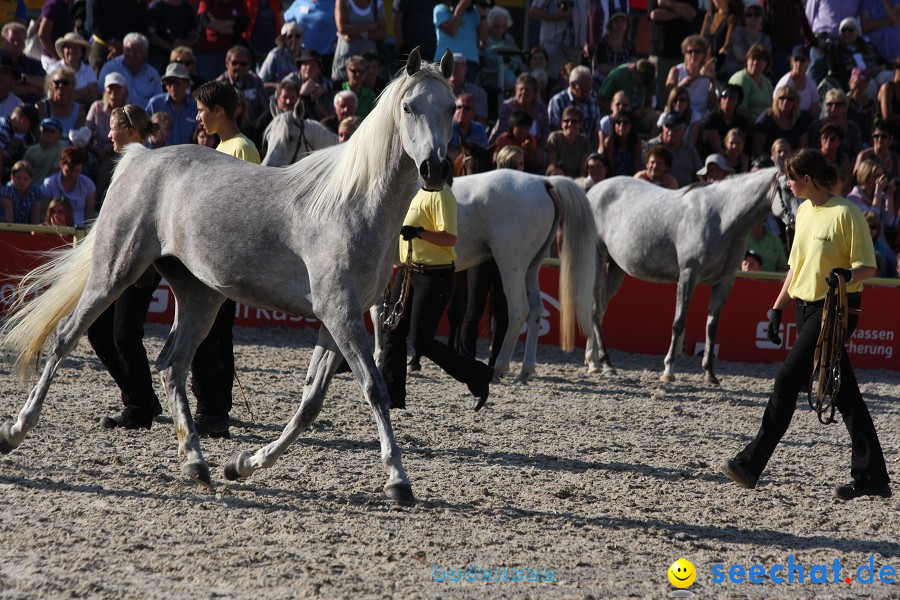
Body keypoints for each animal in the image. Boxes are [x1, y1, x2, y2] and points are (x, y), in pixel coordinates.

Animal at [0, 49, 454, 504]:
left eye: (451, 107)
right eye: (409, 107)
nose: (435, 168)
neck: (348, 203)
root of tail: (138, 157)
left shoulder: (338, 318)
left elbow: (310, 403)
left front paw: (243, 465)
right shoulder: (340, 313)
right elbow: (374, 388)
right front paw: (398, 480)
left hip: (200, 295)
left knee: (171, 364)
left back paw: (196, 463)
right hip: (113, 273)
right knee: (64, 339)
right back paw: (16, 431)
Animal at [592, 168, 796, 384]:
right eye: (786, 187)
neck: (722, 219)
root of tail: (594, 190)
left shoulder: (725, 282)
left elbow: (711, 327)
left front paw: (710, 373)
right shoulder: (688, 274)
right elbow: (679, 323)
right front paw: (668, 371)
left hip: (616, 269)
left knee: (600, 309)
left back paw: (594, 363)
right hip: (598, 260)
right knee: (595, 310)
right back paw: (605, 363)